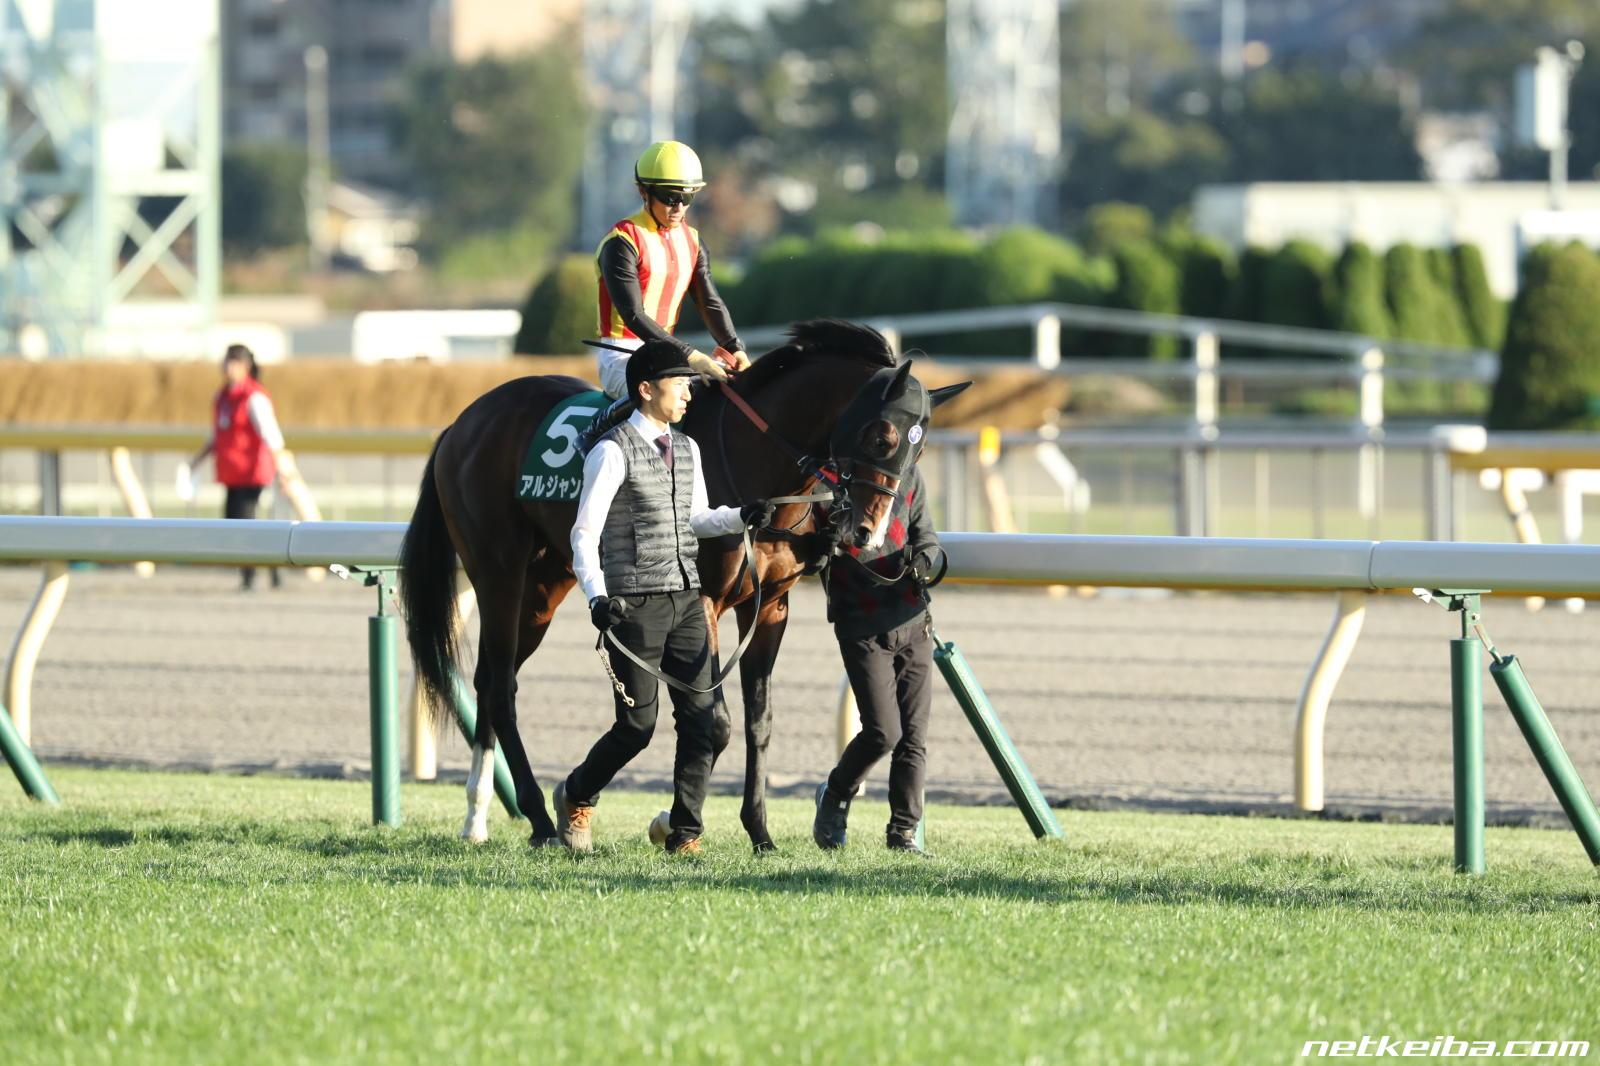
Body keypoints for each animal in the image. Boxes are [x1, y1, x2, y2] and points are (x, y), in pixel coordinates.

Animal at [400, 315, 966, 845]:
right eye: (883, 436)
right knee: (500, 687)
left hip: (546, 584)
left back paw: (476, 817)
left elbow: (758, 721)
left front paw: (758, 831)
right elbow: (711, 719)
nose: (868, 532)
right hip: (498, 571)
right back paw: (538, 816)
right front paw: (672, 821)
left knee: (490, 678)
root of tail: (463, 423)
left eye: (918, 450)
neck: (758, 461)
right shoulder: (706, 601)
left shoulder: (770, 606)